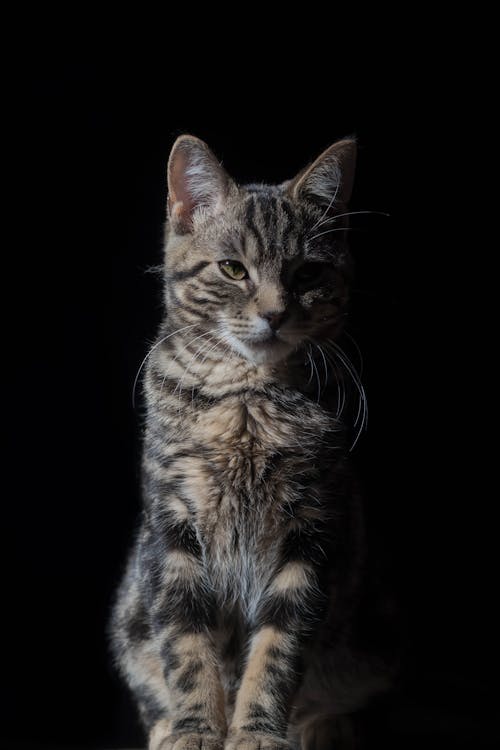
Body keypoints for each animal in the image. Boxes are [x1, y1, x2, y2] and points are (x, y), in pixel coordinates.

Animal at [111, 137, 392, 750]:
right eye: (233, 269)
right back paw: (164, 724)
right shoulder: (173, 528)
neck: (248, 403)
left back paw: (323, 726)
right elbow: (185, 645)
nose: (273, 313)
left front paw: (258, 730)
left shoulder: (311, 532)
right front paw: (195, 727)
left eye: (308, 272)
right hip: (129, 611)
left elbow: (278, 649)